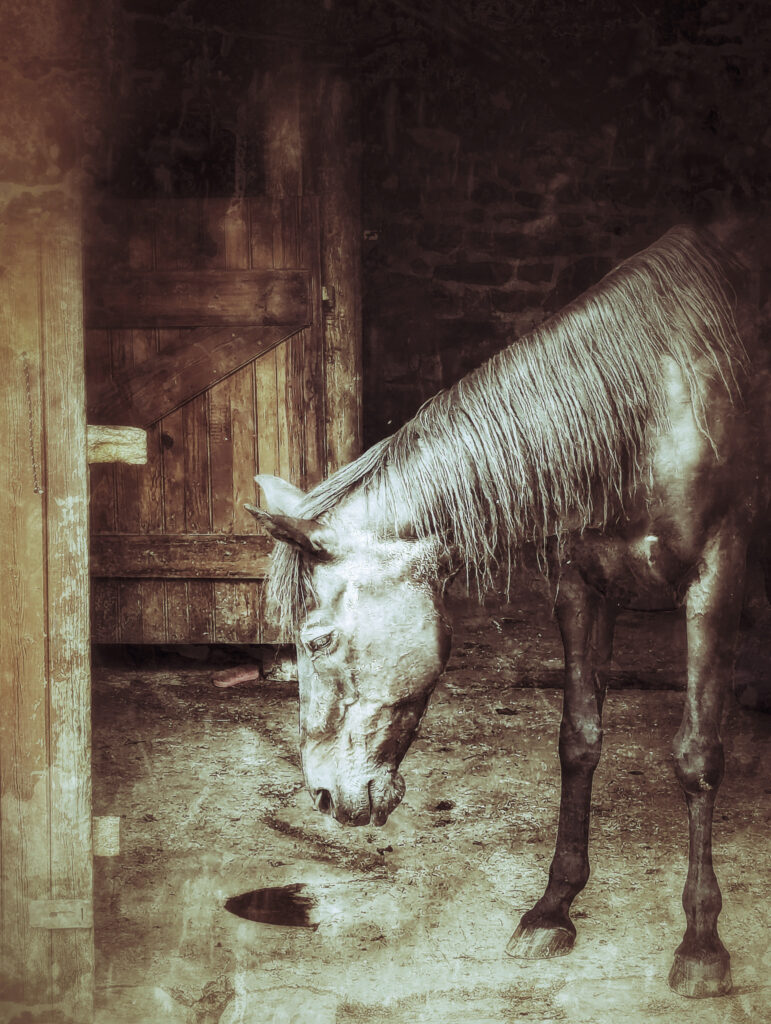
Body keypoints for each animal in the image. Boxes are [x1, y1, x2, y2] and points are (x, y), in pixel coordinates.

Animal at [246, 225, 770, 999]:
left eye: (316, 640)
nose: (323, 797)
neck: (644, 414)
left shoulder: (716, 577)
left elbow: (697, 756)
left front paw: (702, 944)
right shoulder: (580, 584)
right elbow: (578, 741)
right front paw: (552, 908)